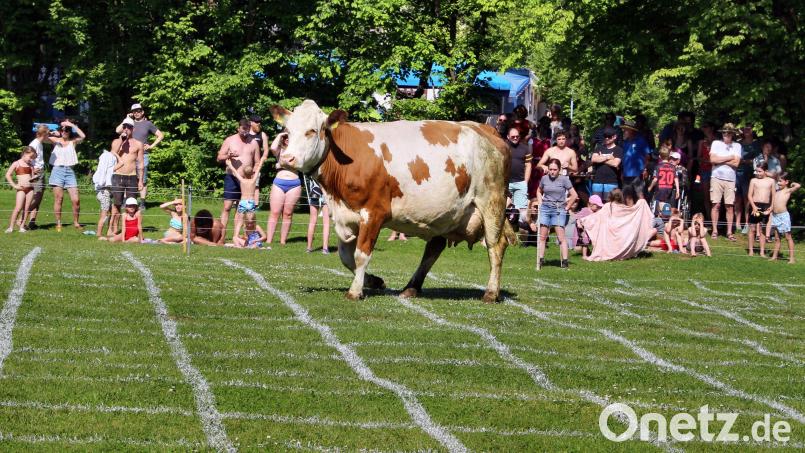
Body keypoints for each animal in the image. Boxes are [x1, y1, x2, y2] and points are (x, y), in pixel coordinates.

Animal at [271, 100, 515, 303]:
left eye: (312, 131)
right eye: (287, 132)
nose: (287, 159)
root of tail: (484, 128)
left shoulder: (374, 212)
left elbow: (361, 255)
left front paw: (355, 291)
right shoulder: (345, 215)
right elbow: (346, 258)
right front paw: (374, 281)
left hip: (491, 203)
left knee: (496, 246)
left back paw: (491, 293)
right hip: (446, 213)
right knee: (434, 248)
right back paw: (411, 288)